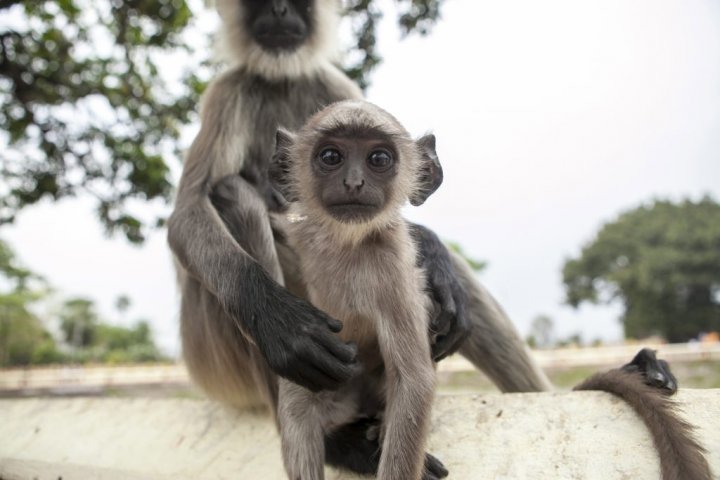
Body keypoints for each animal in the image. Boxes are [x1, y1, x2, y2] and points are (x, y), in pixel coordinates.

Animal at [268, 99, 442, 478]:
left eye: (379, 159)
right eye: (331, 156)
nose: (353, 182)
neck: (346, 244)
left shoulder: (391, 263)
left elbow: (413, 381)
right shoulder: (298, 233)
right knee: (298, 393)